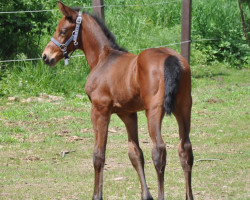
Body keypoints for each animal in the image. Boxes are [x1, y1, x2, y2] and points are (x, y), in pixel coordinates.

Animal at [42, 1, 194, 200]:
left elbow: (99, 155)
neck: (103, 59)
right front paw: (146, 195)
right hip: (183, 107)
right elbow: (135, 153)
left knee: (159, 150)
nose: (46, 56)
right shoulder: (128, 113)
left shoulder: (99, 110)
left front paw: (97, 195)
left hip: (154, 110)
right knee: (185, 149)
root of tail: (171, 57)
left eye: (62, 30)